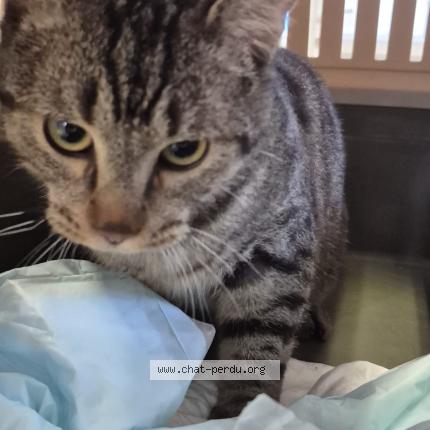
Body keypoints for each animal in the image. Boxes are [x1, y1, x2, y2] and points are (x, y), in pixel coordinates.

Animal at [0, 0, 346, 419]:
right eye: (68, 132)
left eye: (185, 149)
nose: (114, 230)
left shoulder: (277, 255)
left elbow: (258, 345)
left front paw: (242, 414)